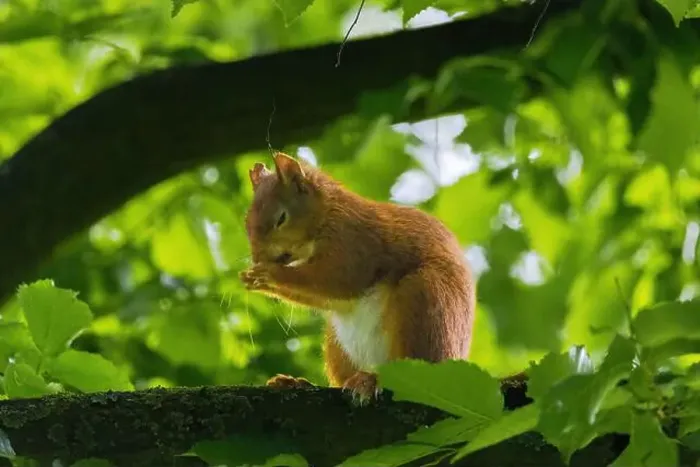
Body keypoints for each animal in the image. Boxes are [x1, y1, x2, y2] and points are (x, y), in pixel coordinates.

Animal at [239, 151, 475, 403]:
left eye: (281, 218)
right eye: (247, 222)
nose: (257, 257)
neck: (329, 213)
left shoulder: (354, 243)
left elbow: (336, 279)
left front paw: (268, 273)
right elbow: (322, 297)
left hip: (425, 300)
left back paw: (371, 381)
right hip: (336, 344)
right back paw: (298, 383)